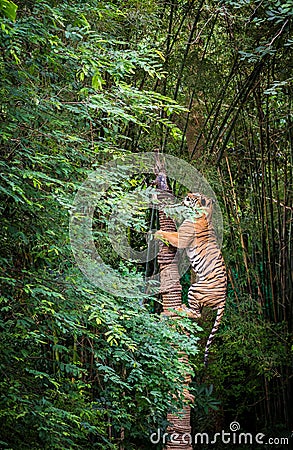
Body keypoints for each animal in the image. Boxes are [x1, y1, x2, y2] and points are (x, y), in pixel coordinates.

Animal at [154, 192, 227, 366]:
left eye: (196, 196)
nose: (187, 194)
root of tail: (224, 299)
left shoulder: (181, 237)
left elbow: (169, 234)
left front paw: (157, 232)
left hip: (196, 289)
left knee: (196, 314)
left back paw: (178, 309)